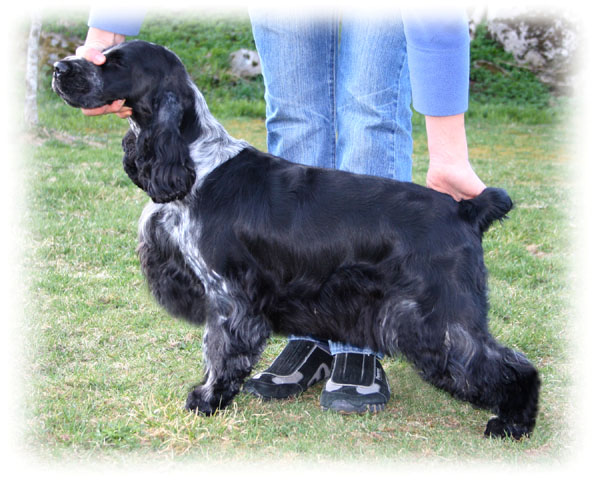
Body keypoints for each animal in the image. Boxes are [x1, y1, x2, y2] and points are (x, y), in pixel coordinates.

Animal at [52, 40, 540, 439]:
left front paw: (207, 399)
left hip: (435, 319)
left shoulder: (228, 296)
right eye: (99, 55)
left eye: (114, 63)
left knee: (512, 367)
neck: (196, 163)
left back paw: (512, 424)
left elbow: (218, 350)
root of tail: (466, 209)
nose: (58, 67)